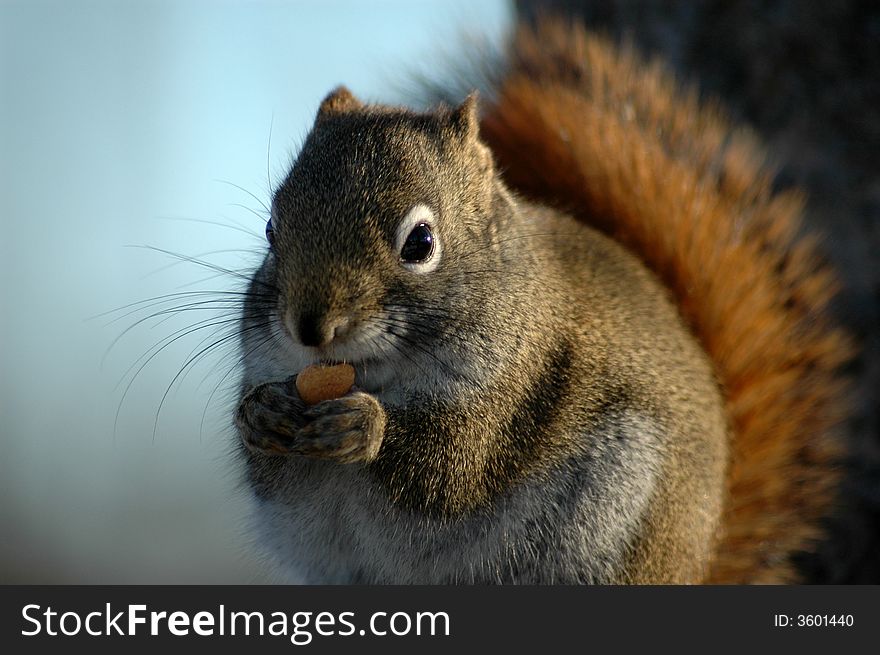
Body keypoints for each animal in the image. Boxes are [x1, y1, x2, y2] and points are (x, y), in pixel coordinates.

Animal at [232, 20, 852, 584]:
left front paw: (365, 426)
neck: (371, 375)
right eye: (271, 228)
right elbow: (268, 469)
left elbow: (452, 470)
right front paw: (262, 413)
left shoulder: (516, 385)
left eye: (421, 243)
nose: (310, 328)